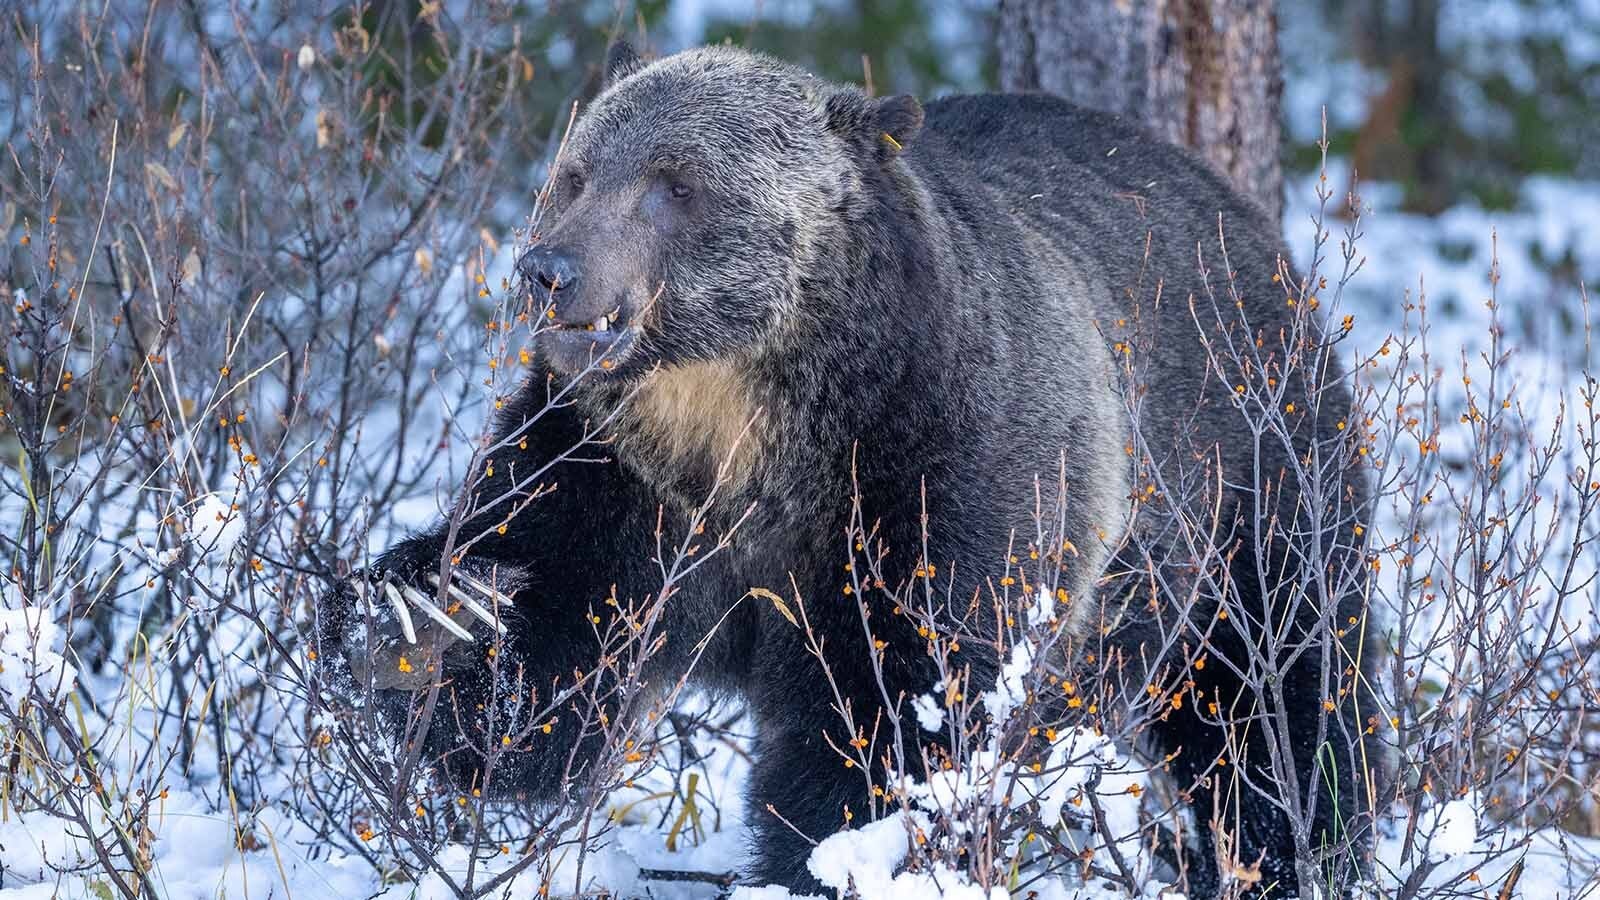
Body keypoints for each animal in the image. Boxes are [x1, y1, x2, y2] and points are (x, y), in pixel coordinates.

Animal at [315, 42, 1372, 897]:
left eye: (676, 183)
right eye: (575, 174)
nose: (550, 270)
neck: (748, 424)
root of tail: (1232, 201)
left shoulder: (938, 468)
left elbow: (895, 704)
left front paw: (825, 858)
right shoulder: (613, 470)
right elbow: (556, 657)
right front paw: (422, 620)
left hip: (1250, 467)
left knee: (1277, 690)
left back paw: (1292, 854)